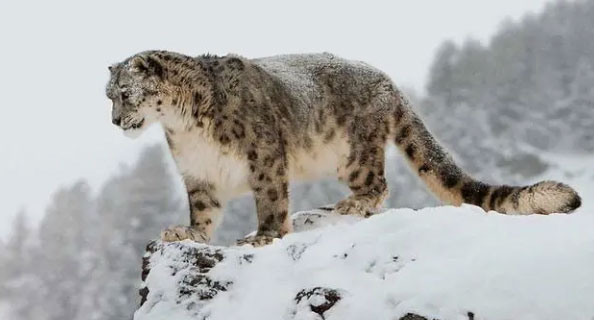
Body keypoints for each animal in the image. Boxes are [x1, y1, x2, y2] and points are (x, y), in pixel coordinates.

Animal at [105, 50, 580, 246]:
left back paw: (351, 204)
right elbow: (203, 211)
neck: (183, 127)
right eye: (107, 94)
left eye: (125, 93)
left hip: (354, 152)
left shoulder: (264, 157)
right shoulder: (199, 173)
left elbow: (271, 200)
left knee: (379, 184)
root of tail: (388, 81)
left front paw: (264, 236)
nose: (113, 121)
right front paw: (189, 233)